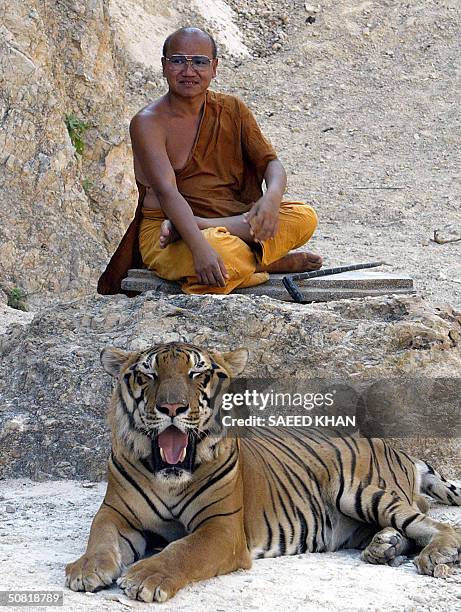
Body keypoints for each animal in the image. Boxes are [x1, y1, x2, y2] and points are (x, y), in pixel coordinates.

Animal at [64, 344, 460, 604]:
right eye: (148, 375)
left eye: (198, 374)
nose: (172, 407)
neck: (170, 477)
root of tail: (397, 448)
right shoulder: (116, 512)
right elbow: (99, 536)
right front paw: (86, 569)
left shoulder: (221, 527)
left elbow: (183, 550)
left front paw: (146, 576)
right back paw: (383, 547)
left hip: (358, 490)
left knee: (434, 524)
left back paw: (434, 555)